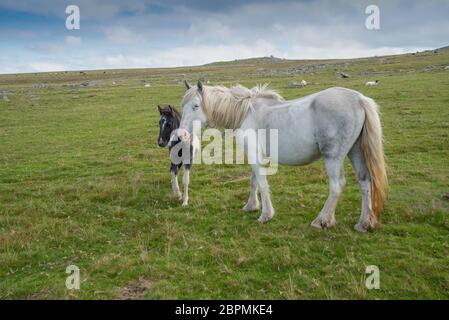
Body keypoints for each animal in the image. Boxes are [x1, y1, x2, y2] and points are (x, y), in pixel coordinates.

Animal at [178, 79, 384, 230]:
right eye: (183, 106)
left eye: (195, 106)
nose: (181, 135)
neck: (245, 113)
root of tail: (359, 99)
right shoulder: (256, 156)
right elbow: (253, 181)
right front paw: (251, 206)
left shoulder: (254, 155)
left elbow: (262, 184)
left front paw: (266, 215)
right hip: (355, 152)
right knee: (365, 182)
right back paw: (364, 223)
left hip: (333, 157)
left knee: (337, 185)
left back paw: (322, 220)